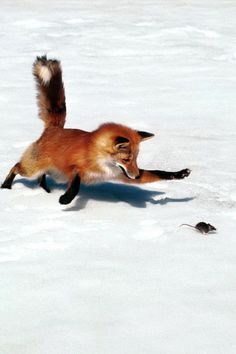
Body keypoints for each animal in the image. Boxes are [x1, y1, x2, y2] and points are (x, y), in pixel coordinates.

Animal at [0, 55, 191, 205]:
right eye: (127, 159)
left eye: (136, 159)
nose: (136, 175)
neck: (99, 159)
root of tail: (54, 128)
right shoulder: (75, 168)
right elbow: (76, 184)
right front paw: (66, 199)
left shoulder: (121, 175)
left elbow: (159, 173)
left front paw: (179, 174)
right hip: (32, 169)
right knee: (16, 167)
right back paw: (6, 186)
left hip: (52, 172)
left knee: (40, 178)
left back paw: (44, 190)